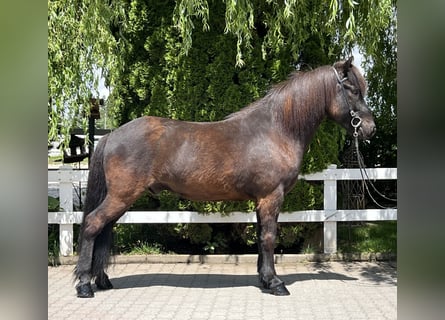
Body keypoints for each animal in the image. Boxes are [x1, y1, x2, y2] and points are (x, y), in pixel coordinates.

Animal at [74, 57, 372, 298]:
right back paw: (85, 286)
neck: (276, 130)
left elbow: (261, 236)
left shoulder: (261, 201)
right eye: (353, 89)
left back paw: (102, 280)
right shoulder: (271, 197)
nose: (370, 128)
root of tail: (112, 135)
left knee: (103, 229)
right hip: (121, 196)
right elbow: (269, 238)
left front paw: (264, 279)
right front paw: (276, 283)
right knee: (92, 225)